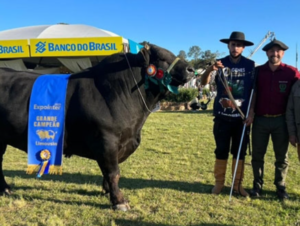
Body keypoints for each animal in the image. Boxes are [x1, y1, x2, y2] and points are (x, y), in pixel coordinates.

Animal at [0, 43, 195, 210]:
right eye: (162, 57)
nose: (191, 69)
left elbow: (107, 172)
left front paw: (107, 192)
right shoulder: (106, 139)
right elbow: (113, 172)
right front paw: (119, 201)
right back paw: (6, 189)